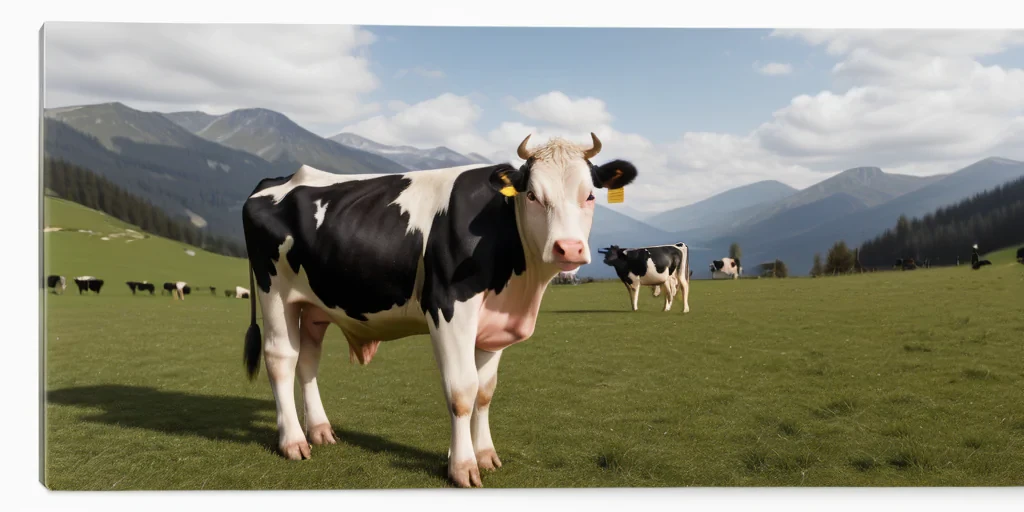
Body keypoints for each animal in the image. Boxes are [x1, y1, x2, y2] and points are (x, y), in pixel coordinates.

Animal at [239, 133, 637, 488]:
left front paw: (486, 455)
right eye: (533, 195)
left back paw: (320, 431)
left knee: (307, 359)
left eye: (589, 195)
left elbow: (485, 391)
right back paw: (293, 442)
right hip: (274, 292)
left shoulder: (495, 324)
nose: (568, 249)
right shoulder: (449, 308)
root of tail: (275, 181)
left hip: (314, 305)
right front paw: (462, 467)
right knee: (281, 358)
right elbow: (462, 391)